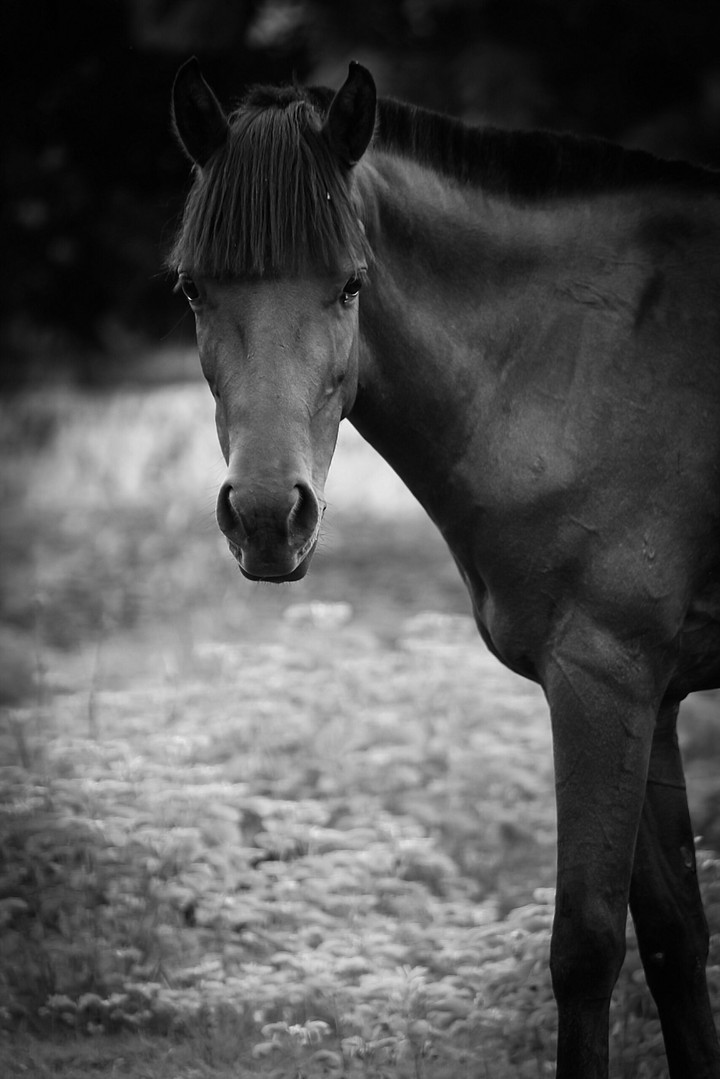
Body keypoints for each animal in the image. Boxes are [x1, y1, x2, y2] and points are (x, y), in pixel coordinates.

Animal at [169, 58, 720, 1078]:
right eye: (193, 290)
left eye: (351, 285)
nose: (265, 518)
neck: (584, 363)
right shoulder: (651, 695)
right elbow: (674, 938)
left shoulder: (602, 681)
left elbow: (587, 946)